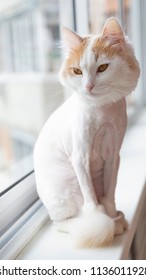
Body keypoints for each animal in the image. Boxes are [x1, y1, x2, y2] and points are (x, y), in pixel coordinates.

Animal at [33, 17, 140, 247]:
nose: (89, 86)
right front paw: (100, 218)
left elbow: (109, 193)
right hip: (68, 185)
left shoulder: (113, 155)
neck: (103, 112)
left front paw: (111, 215)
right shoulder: (80, 157)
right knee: (60, 223)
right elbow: (91, 199)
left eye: (103, 68)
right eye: (77, 72)